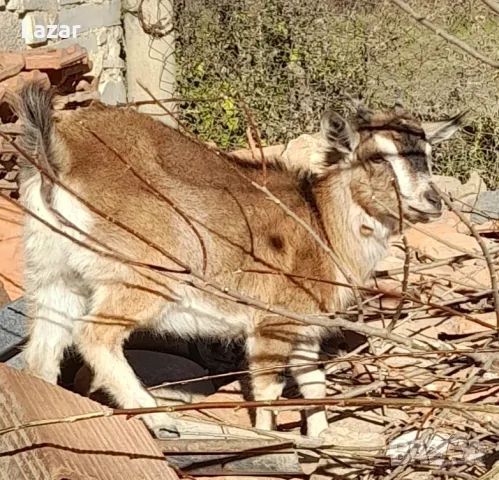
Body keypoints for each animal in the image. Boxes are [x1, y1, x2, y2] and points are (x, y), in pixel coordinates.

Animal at [16, 83, 464, 438]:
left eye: (428, 152)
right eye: (377, 157)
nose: (432, 201)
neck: (321, 225)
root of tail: (60, 154)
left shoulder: (304, 326)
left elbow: (312, 381)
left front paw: (321, 438)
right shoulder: (273, 321)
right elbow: (268, 387)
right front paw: (274, 438)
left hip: (54, 274)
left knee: (43, 351)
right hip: (143, 272)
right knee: (95, 335)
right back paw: (161, 419)